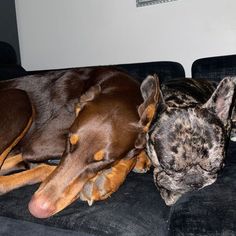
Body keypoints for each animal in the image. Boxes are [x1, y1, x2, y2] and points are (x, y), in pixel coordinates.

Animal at [0, 67, 153, 218]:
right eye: (69, 141)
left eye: (102, 161)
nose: (37, 208)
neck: (122, 87)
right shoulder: (38, 144)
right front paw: (108, 179)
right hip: (20, 98)